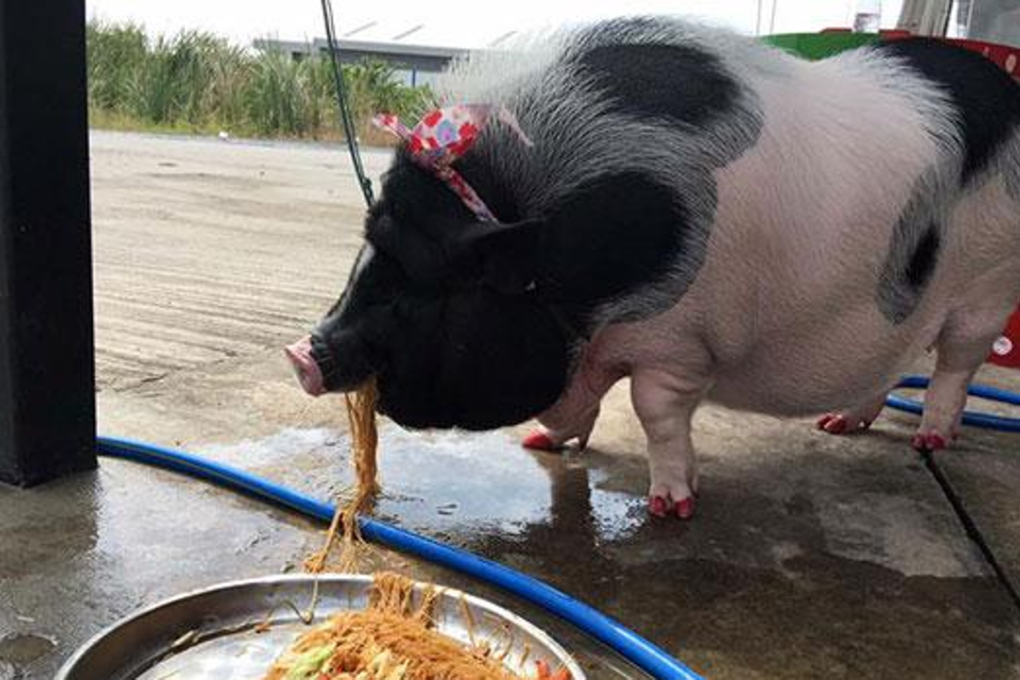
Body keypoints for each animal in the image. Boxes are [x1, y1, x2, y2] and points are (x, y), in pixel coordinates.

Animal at [287, 17, 1020, 519]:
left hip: (986, 290)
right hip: (909, 308)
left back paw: (930, 442)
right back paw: (839, 426)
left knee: (953, 367)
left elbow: (653, 412)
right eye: (369, 252)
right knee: (895, 364)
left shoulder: (677, 344)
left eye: (416, 288)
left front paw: (671, 507)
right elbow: (579, 401)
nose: (303, 353)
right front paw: (541, 444)